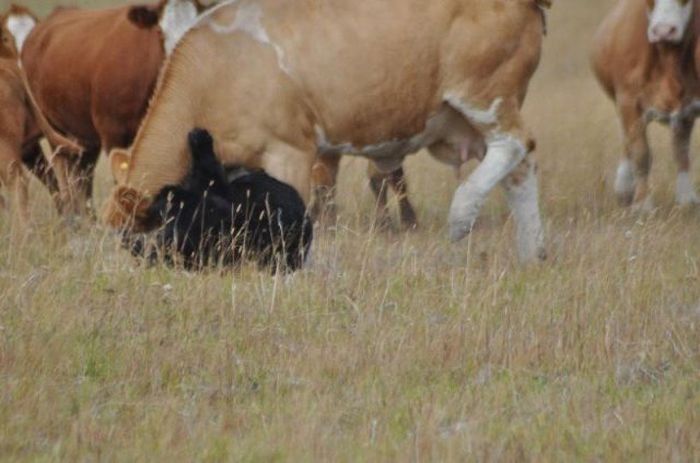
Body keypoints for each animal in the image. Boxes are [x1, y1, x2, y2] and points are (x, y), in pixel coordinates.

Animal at [106, 0, 548, 262]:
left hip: (484, 97)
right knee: (520, 170)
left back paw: (463, 213)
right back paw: (531, 253)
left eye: (132, 238)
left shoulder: (291, 153)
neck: (220, 70)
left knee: (515, 145)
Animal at [592, 0, 700, 208]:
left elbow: (681, 151)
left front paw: (686, 198)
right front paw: (642, 203)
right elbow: (641, 153)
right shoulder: (628, 101)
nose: (664, 31)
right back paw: (624, 188)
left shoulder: (688, 108)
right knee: (627, 141)